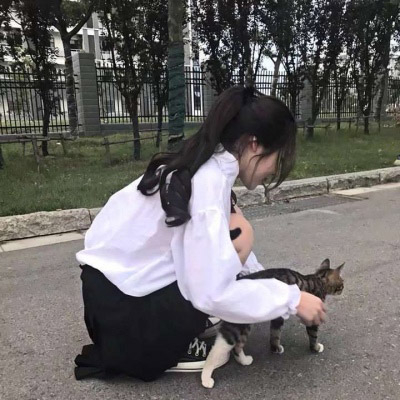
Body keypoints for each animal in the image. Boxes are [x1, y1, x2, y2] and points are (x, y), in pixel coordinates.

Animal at [201, 258, 345, 389]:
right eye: (342, 283)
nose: (343, 288)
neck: (318, 280)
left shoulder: (278, 317)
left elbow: (275, 334)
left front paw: (275, 348)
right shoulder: (312, 316)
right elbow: (313, 335)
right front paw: (316, 348)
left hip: (244, 323)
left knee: (237, 347)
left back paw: (244, 360)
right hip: (233, 328)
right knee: (217, 349)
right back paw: (206, 378)